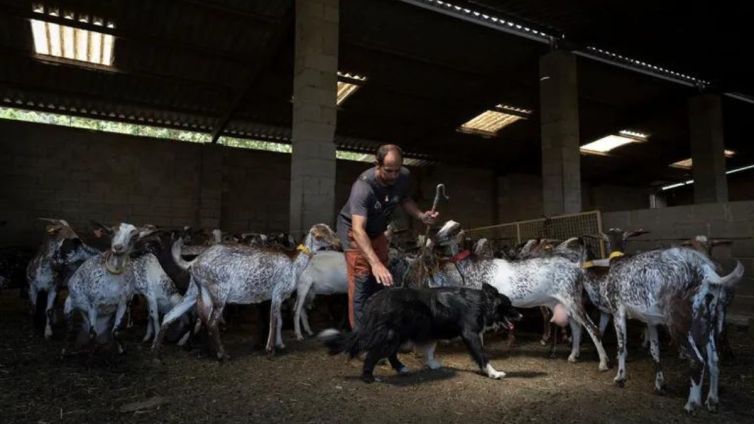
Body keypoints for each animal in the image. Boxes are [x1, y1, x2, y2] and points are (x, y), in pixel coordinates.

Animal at [153, 224, 338, 360]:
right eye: (323, 233)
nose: (337, 243)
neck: (294, 262)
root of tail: (195, 261)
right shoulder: (277, 292)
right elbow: (274, 321)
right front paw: (270, 350)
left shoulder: (275, 297)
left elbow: (277, 321)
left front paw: (278, 345)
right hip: (219, 292)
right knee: (211, 322)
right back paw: (222, 355)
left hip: (195, 292)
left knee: (171, 316)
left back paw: (157, 353)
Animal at [318, 284, 516, 382]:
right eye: (508, 305)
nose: (520, 315)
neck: (482, 303)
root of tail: (374, 300)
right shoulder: (470, 334)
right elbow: (482, 355)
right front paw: (493, 373)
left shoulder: (431, 330)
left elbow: (429, 350)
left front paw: (432, 364)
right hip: (392, 335)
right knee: (373, 354)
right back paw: (369, 377)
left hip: (399, 334)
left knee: (390, 354)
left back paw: (401, 369)